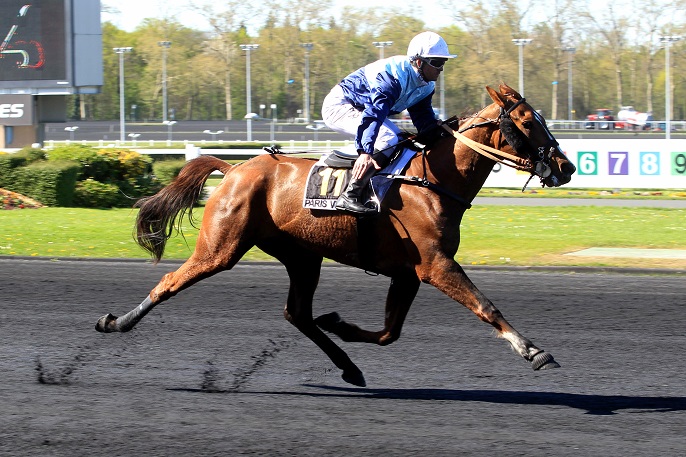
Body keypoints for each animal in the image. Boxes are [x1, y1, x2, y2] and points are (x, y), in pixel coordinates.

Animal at [97, 83, 576, 386]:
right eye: (527, 122)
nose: (567, 166)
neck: (432, 181)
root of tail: (234, 167)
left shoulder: (408, 272)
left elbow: (389, 332)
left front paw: (340, 324)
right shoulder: (435, 265)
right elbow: (485, 305)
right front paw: (533, 351)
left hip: (303, 256)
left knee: (297, 314)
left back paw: (348, 365)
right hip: (222, 246)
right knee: (170, 281)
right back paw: (117, 322)